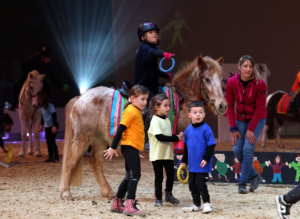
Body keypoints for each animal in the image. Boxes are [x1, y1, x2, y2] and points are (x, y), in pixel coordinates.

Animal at [59, 56, 227, 200]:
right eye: (207, 79)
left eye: (221, 80)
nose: (222, 105)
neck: (180, 101)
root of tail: (81, 97)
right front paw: (161, 195)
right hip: (83, 137)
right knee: (71, 161)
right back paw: (66, 193)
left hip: (100, 139)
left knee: (96, 163)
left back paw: (109, 192)